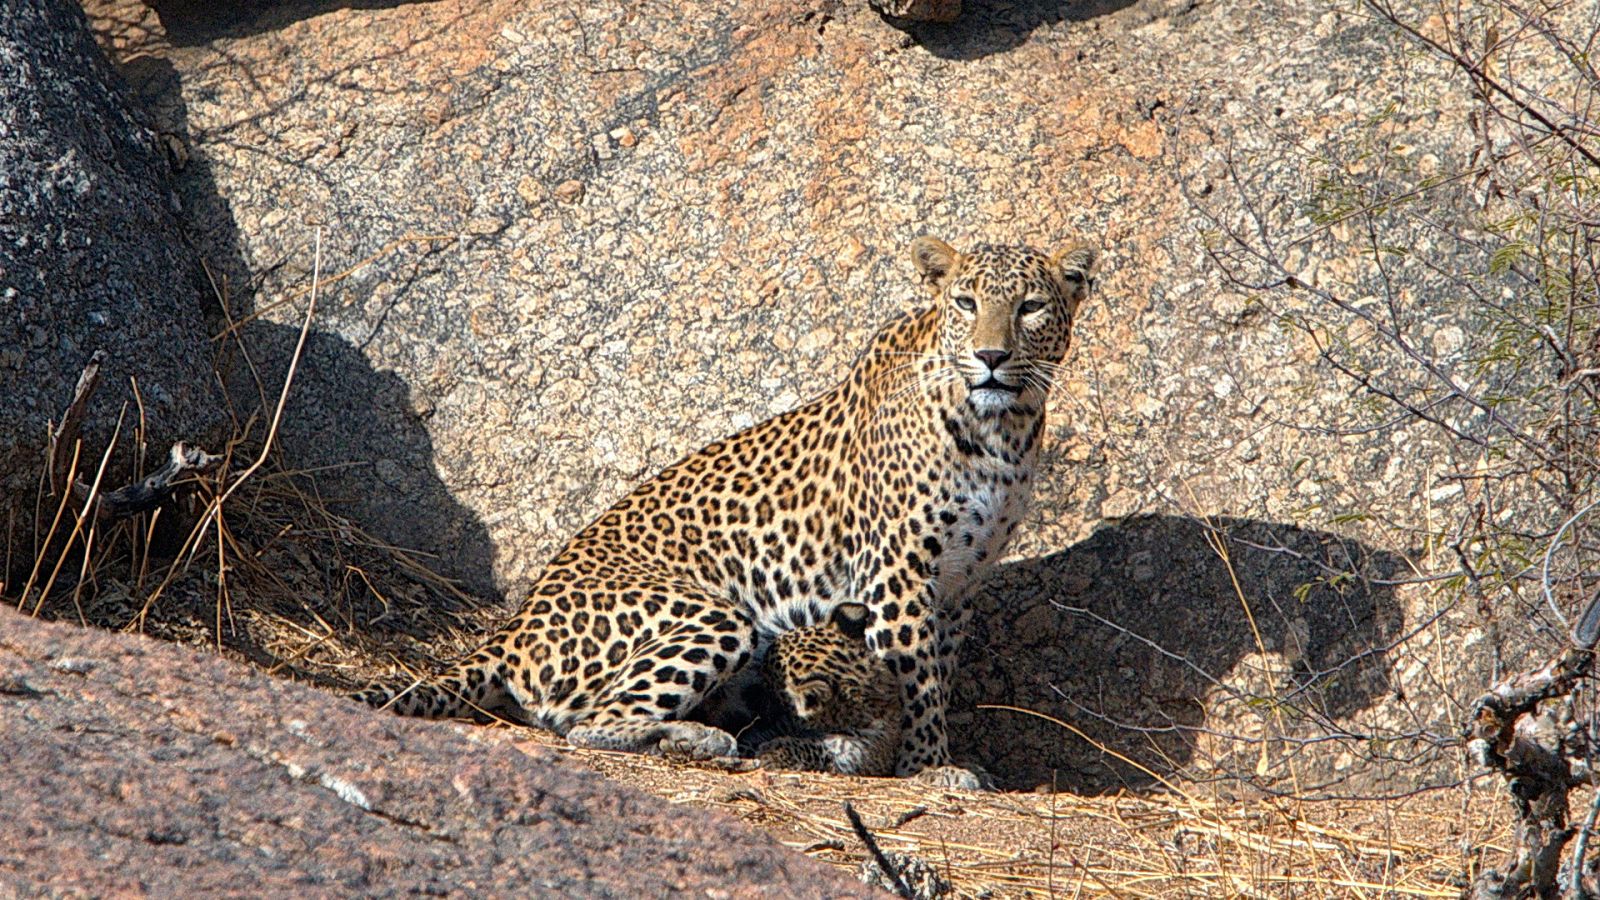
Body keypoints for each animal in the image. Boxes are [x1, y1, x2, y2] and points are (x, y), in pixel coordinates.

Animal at [355, 235, 1099, 788]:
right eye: (967, 302)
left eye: (1031, 306)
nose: (991, 355)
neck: (1003, 431)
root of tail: (512, 629)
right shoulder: (898, 573)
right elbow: (915, 677)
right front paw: (926, 769)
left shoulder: (960, 581)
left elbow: (938, 672)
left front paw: (933, 759)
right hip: (717, 616)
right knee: (592, 722)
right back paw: (701, 739)